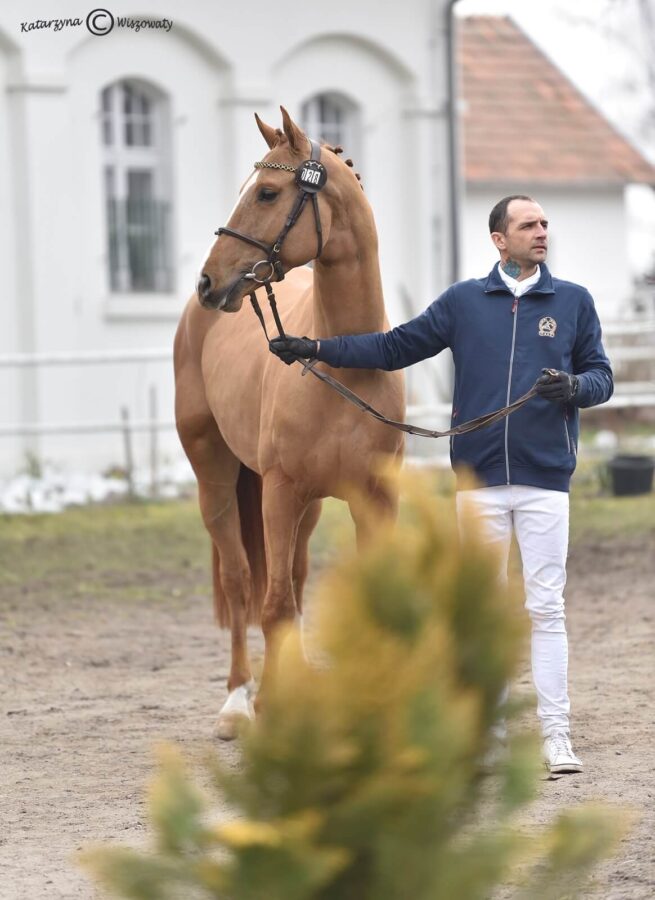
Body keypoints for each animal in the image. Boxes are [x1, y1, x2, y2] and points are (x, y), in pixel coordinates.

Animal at [173, 107, 404, 740]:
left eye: (268, 193)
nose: (209, 282)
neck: (345, 360)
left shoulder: (373, 497)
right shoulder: (278, 491)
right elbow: (271, 604)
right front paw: (271, 712)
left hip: (311, 505)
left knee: (294, 580)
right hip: (216, 476)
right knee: (242, 581)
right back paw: (237, 702)